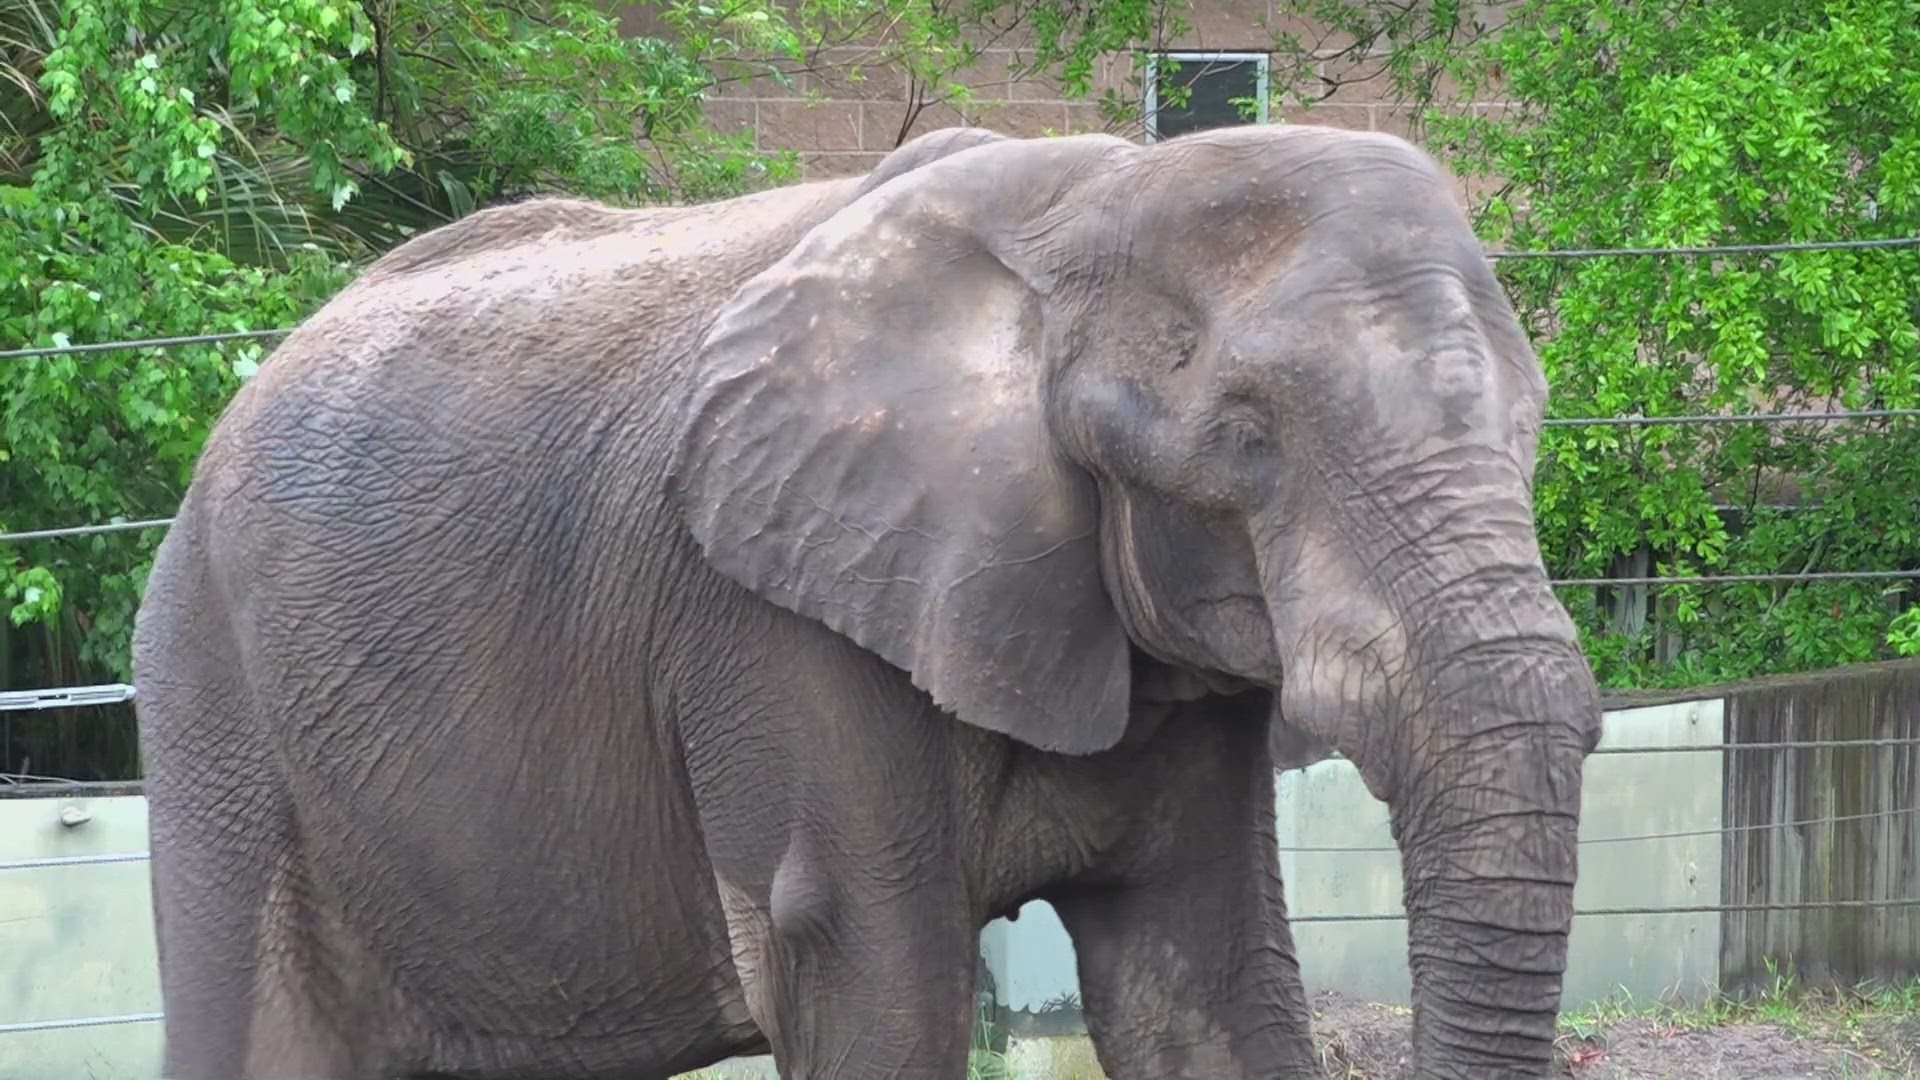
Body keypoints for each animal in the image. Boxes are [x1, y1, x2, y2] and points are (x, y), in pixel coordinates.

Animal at [135, 122, 1605, 1068]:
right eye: (1248, 440)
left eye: (1535, 426)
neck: (1094, 193)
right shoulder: (773, 627)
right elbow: (878, 984)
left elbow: (1209, 981)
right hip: (215, 710)